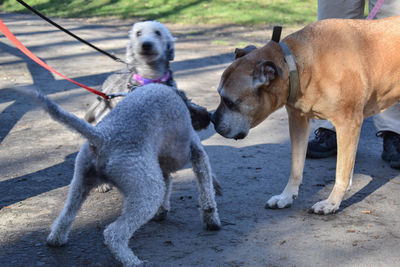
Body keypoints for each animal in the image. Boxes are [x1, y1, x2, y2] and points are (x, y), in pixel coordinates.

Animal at [17, 85, 220, 266]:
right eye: (188, 99)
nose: (209, 116)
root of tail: (102, 137)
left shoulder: (160, 166)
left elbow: (168, 183)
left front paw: (162, 211)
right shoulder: (196, 152)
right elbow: (206, 188)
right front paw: (211, 219)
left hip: (81, 182)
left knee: (65, 217)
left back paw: (56, 240)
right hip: (146, 191)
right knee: (113, 234)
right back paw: (133, 261)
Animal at [211, 15, 400, 215]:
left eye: (230, 102)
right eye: (219, 95)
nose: (212, 119)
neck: (298, 64)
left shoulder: (347, 124)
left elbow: (340, 172)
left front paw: (332, 202)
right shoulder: (298, 121)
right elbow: (297, 167)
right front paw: (286, 196)